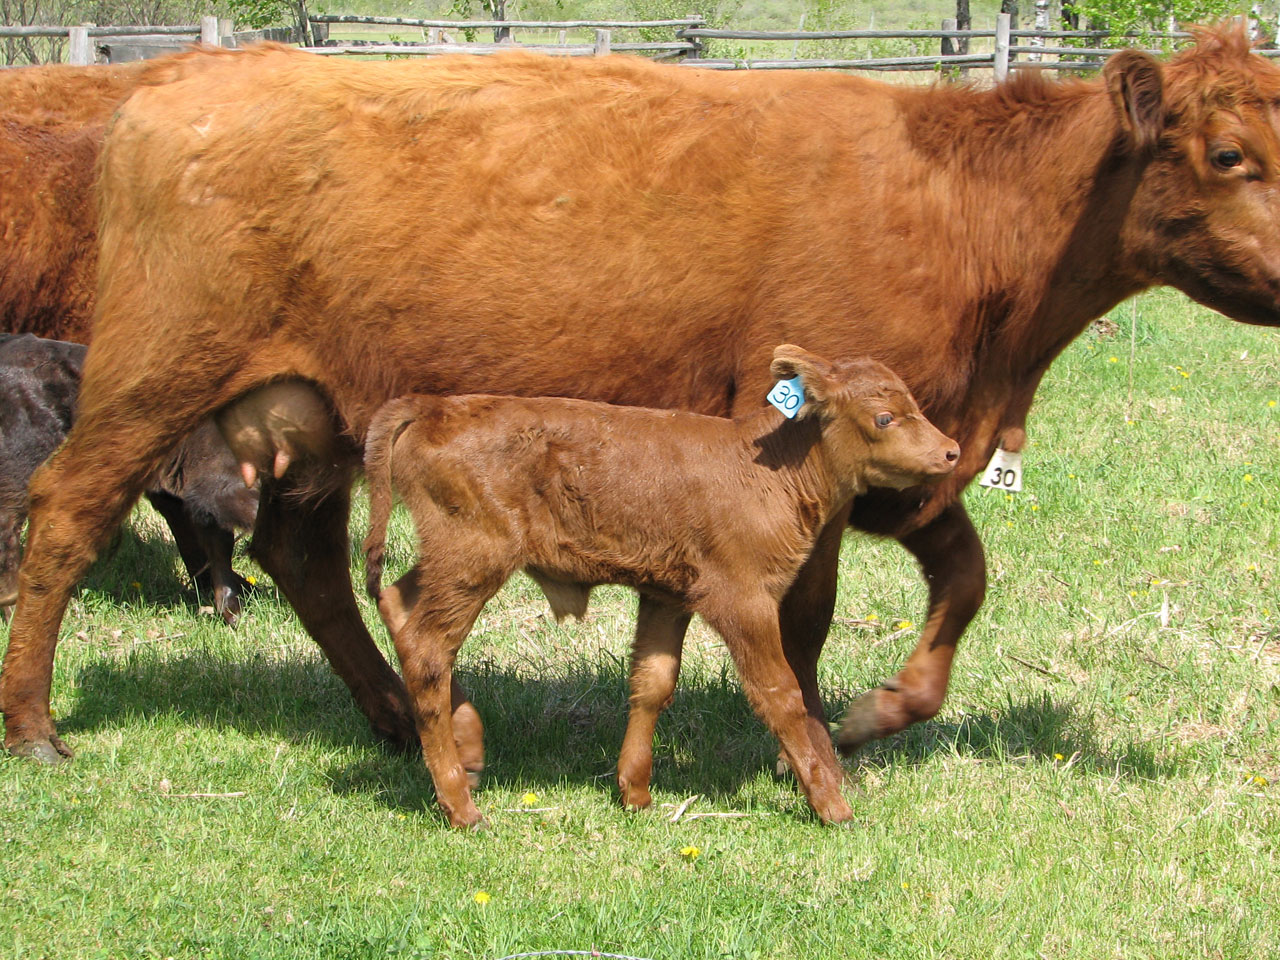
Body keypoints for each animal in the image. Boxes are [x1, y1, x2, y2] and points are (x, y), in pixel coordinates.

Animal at [0, 335, 257, 624]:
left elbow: (217, 545)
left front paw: (231, 609)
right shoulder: (218, 483)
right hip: (23, 461)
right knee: (7, 530)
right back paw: (15, 609)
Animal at [360, 350, 962, 829]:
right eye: (884, 417)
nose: (951, 451)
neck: (766, 471)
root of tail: (435, 407)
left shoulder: (668, 595)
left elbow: (652, 682)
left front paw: (635, 791)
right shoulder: (743, 599)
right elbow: (781, 695)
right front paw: (831, 804)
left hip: (450, 559)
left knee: (396, 603)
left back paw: (467, 748)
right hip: (473, 556)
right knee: (428, 649)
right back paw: (460, 805)